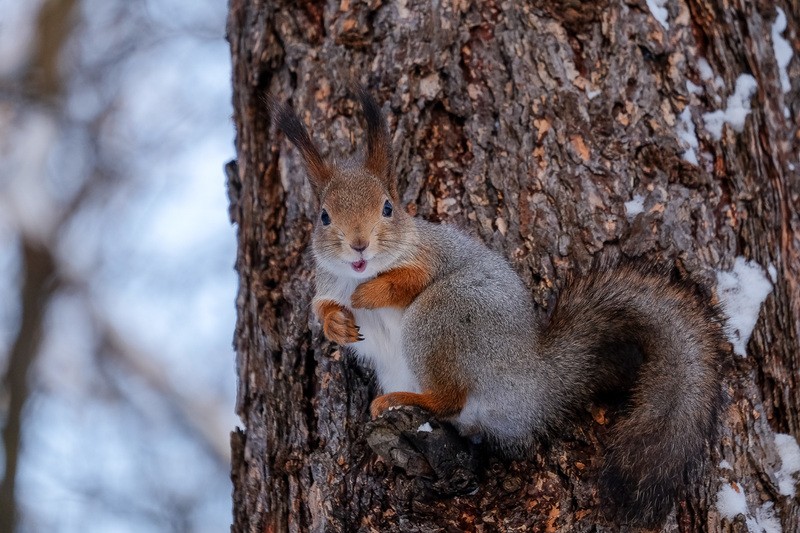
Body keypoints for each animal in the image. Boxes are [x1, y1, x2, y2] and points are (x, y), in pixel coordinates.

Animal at [272, 89, 728, 524]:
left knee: (450, 398)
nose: (359, 244)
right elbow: (322, 307)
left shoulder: (428, 256)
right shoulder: (327, 283)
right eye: (323, 216)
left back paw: (404, 400)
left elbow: (407, 281)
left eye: (387, 207)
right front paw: (337, 325)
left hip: (442, 314)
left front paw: (369, 295)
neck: (360, 273)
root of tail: (533, 380)